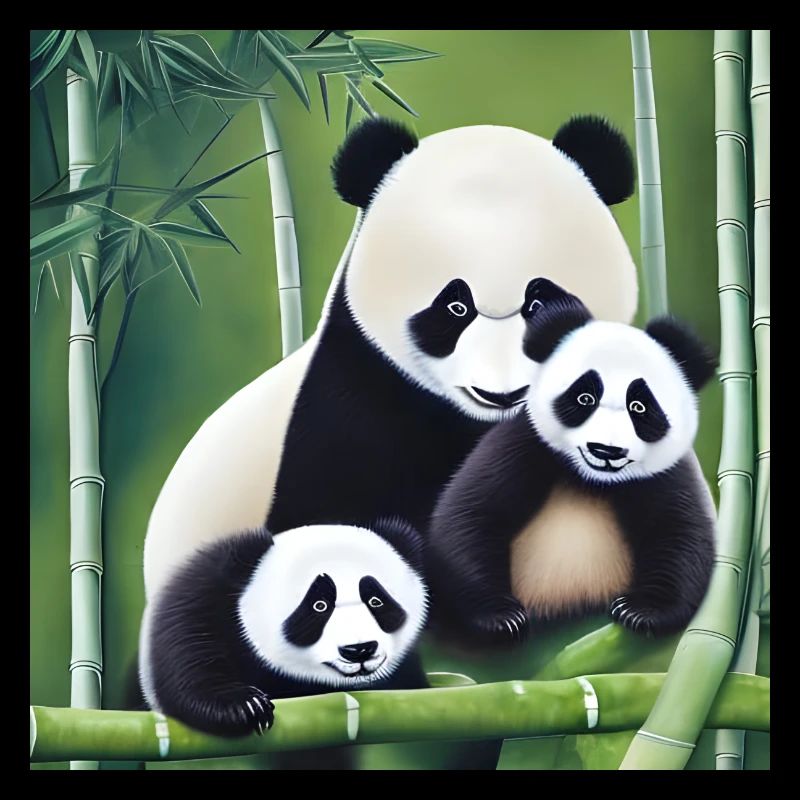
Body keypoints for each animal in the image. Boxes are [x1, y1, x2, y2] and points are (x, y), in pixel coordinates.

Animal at [139, 519, 428, 737]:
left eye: (376, 600)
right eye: (319, 605)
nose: (359, 650)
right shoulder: (197, 599)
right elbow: (189, 656)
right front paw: (246, 706)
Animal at [428, 282, 718, 644]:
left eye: (639, 406)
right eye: (584, 398)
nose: (606, 451)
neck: (590, 481)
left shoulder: (667, 471)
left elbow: (681, 532)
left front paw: (640, 612)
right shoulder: (522, 444)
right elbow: (469, 516)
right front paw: (501, 617)